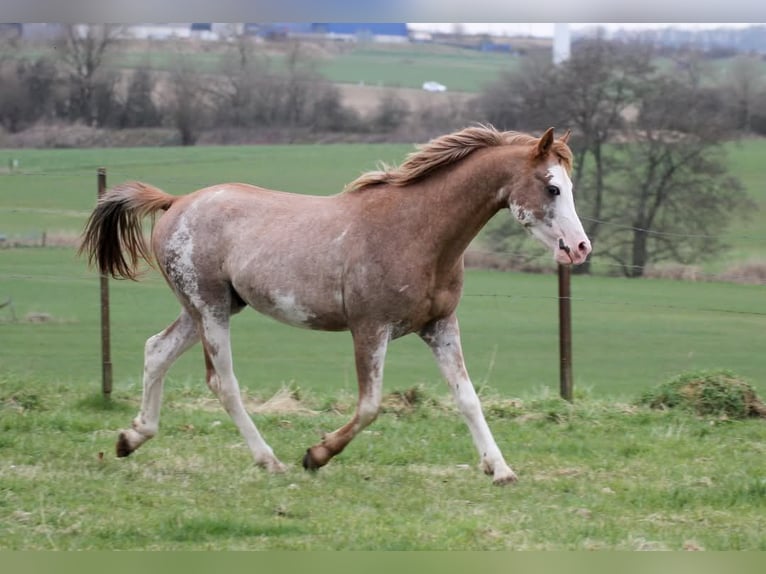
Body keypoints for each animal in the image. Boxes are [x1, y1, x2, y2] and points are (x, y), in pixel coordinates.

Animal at [79, 125, 592, 486]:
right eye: (552, 188)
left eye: (569, 187)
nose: (579, 248)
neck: (416, 230)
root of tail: (176, 202)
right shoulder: (370, 328)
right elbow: (369, 406)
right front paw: (315, 455)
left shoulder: (440, 326)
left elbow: (467, 398)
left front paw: (500, 469)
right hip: (210, 310)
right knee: (222, 382)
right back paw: (269, 460)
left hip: (204, 309)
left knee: (156, 351)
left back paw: (131, 438)